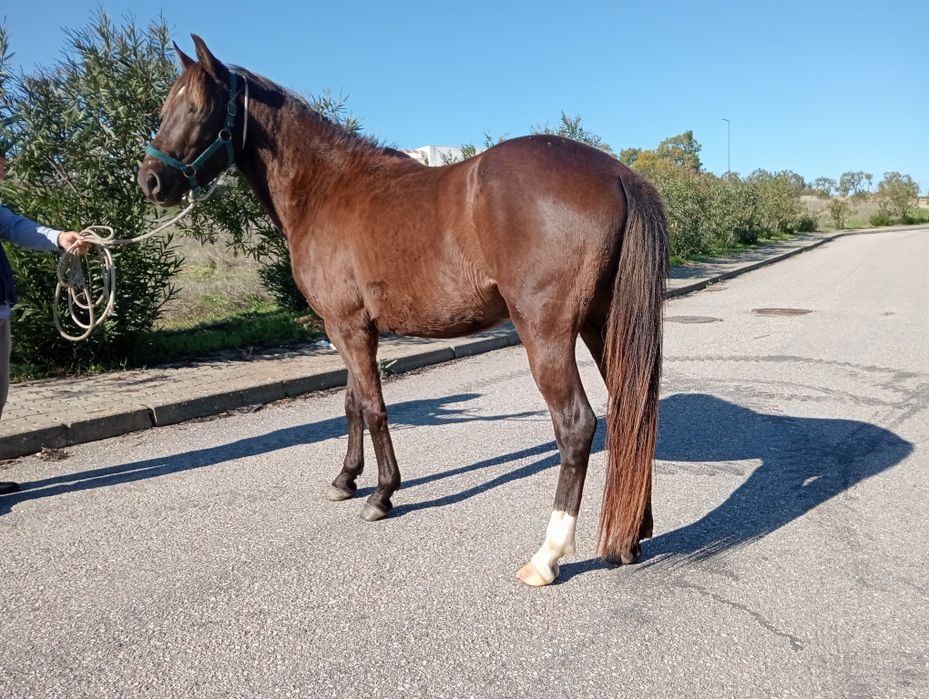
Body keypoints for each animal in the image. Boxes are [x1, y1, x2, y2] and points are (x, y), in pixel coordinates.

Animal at [138, 35, 668, 586]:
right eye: (166, 106)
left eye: (196, 107)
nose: (150, 181)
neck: (327, 189)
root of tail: (617, 173)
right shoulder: (349, 328)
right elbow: (351, 403)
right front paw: (346, 478)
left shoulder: (347, 327)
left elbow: (373, 408)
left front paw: (381, 494)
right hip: (602, 326)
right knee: (635, 414)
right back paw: (633, 534)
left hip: (546, 334)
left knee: (576, 426)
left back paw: (547, 556)